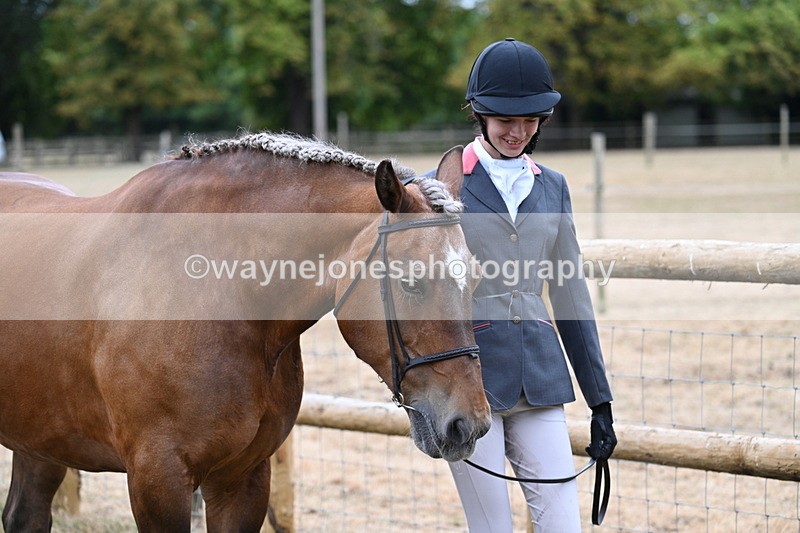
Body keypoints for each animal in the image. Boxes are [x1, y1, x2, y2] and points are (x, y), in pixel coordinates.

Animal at [0, 133, 491, 532]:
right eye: (411, 282)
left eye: (474, 280)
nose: (469, 425)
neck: (220, 297)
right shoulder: (157, 481)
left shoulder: (243, 478)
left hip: (41, 443)